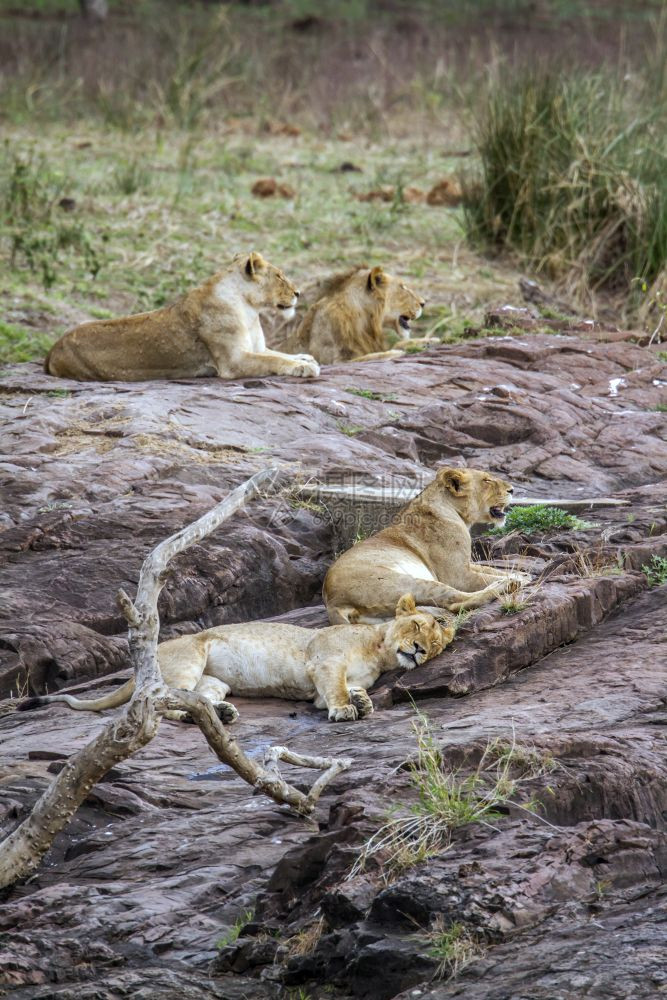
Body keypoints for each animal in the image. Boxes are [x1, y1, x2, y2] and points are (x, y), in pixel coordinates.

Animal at [18, 596, 454, 724]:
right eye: (417, 625)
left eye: (436, 645)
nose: (419, 651)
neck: (379, 650)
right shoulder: (325, 662)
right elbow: (336, 689)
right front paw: (348, 710)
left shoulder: (325, 686)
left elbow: (347, 690)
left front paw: (362, 702)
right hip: (188, 659)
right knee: (160, 703)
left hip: (214, 681)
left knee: (198, 699)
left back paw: (222, 714)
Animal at [44, 254, 320, 382]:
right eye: (280, 276)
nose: (298, 293)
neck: (251, 310)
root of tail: (53, 348)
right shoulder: (233, 362)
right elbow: (273, 361)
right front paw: (305, 367)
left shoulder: (255, 348)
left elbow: (277, 353)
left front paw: (304, 357)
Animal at [280, 266, 430, 364]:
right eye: (402, 287)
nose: (423, 303)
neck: (365, 322)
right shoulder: (336, 361)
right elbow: (371, 356)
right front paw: (396, 353)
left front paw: (425, 342)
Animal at [324, 464, 532, 620]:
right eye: (487, 480)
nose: (512, 489)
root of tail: (334, 603)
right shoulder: (458, 575)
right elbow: (484, 577)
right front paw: (518, 578)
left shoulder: (466, 563)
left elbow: (490, 569)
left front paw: (522, 574)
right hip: (406, 582)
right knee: (457, 602)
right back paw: (508, 585)